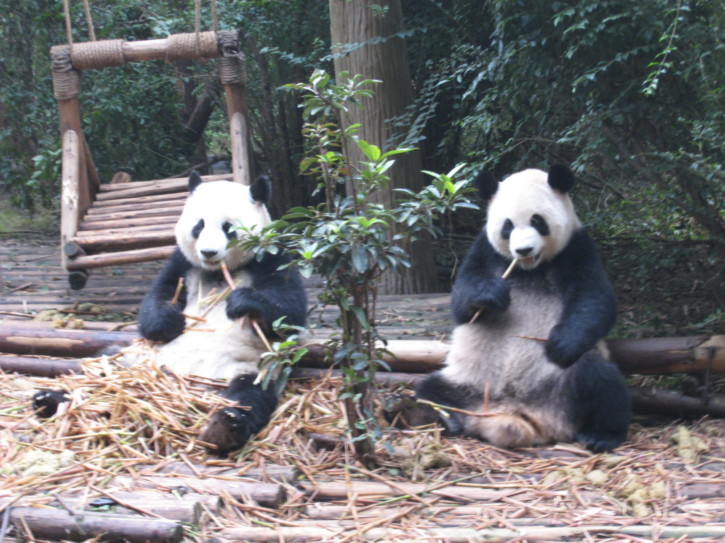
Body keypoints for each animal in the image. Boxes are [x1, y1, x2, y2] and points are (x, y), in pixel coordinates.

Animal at [415, 164, 630, 452]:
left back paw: (601, 435)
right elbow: (462, 300)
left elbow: (594, 299)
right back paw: (445, 417)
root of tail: (515, 413)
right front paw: (490, 296)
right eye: (508, 226)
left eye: (538, 221)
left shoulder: (577, 248)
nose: (523, 249)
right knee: (428, 388)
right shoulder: (483, 248)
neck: (531, 269)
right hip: (468, 380)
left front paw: (560, 344)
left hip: (560, 383)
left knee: (601, 379)